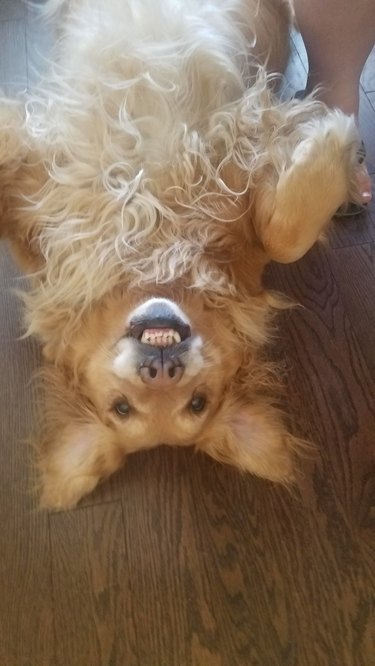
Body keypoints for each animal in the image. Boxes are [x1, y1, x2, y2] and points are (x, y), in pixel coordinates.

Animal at [0, 1, 362, 508]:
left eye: (196, 402)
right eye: (122, 408)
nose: (160, 369)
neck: (155, 256)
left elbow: (284, 239)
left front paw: (331, 137)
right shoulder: (39, 208)